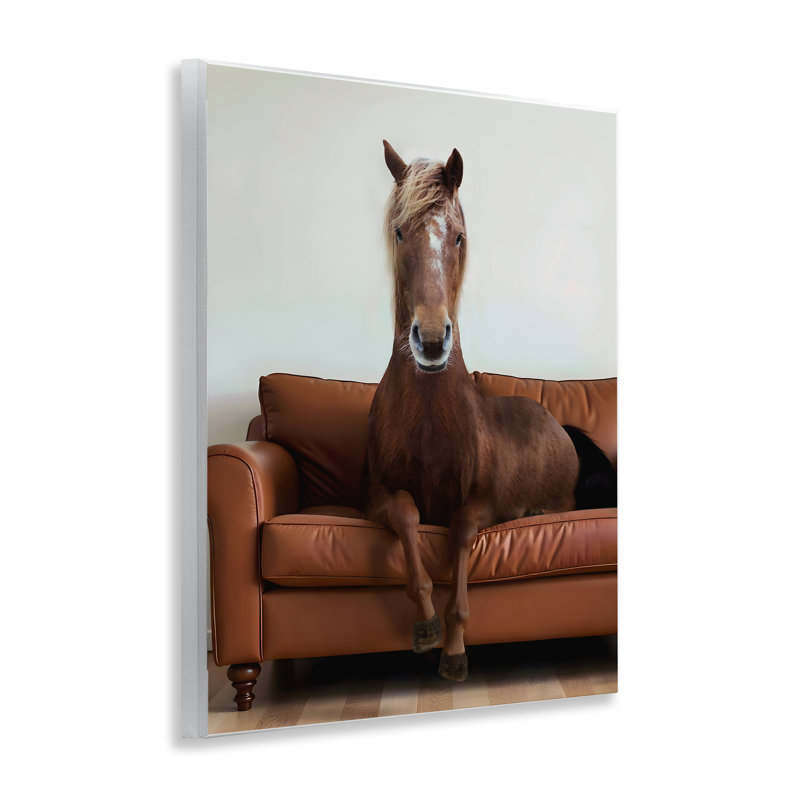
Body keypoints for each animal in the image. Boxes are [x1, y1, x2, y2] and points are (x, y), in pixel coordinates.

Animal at [366, 140, 615, 681]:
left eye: (459, 236)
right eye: (399, 231)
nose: (431, 340)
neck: (429, 421)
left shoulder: (485, 503)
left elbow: (460, 534)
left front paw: (455, 647)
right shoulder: (374, 497)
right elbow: (407, 515)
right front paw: (427, 626)